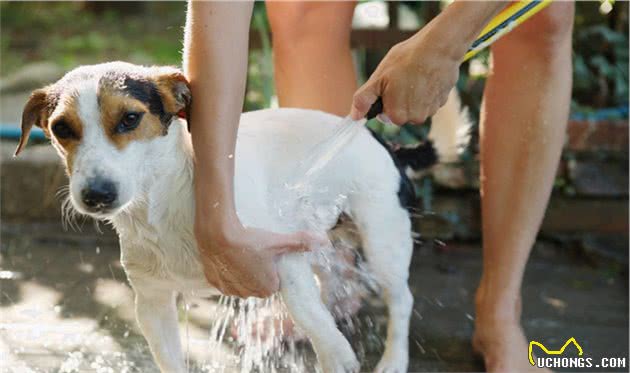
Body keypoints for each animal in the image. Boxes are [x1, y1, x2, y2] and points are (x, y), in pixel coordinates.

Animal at [14, 61, 472, 372]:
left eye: (130, 118)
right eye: (61, 129)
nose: (95, 195)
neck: (165, 203)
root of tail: (385, 143)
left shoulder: (280, 255)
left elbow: (308, 311)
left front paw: (336, 352)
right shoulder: (153, 302)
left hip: (382, 241)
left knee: (400, 300)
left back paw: (392, 359)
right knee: (333, 288)